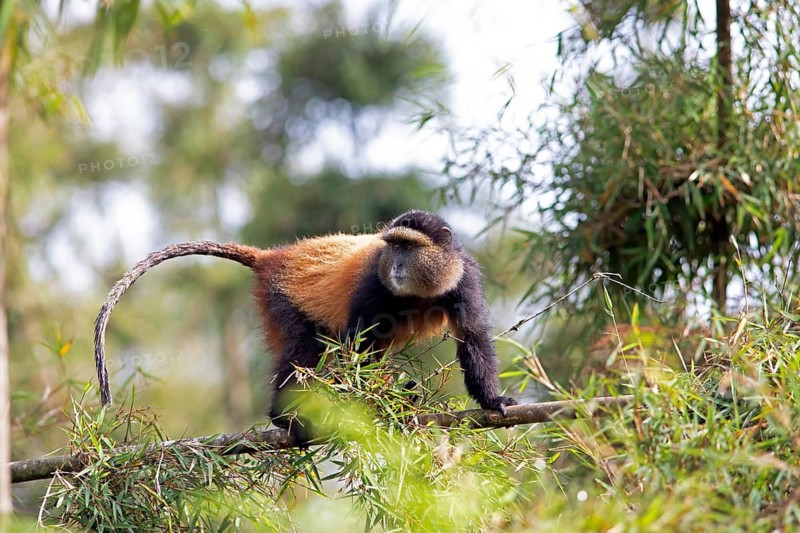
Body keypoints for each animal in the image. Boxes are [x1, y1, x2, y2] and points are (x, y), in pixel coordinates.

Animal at [94, 210, 516, 440]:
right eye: (394, 246)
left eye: (409, 247)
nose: (396, 265)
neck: (416, 290)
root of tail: (271, 257)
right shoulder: (373, 286)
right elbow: (357, 348)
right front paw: (384, 403)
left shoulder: (463, 280)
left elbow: (473, 336)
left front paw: (492, 399)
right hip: (280, 300)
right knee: (303, 347)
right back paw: (285, 415)